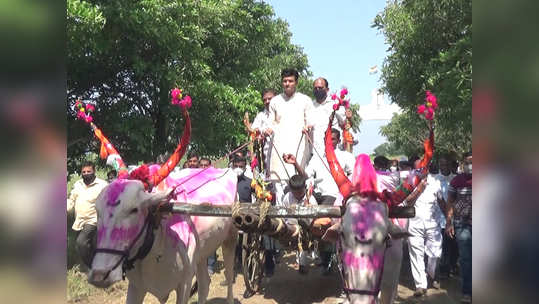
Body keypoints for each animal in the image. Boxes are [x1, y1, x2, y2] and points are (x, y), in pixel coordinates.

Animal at [89, 169, 238, 304]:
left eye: (134, 210)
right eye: (97, 211)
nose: (99, 275)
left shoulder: (185, 283)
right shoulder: (136, 287)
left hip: (230, 239)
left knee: (229, 277)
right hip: (201, 253)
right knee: (204, 284)